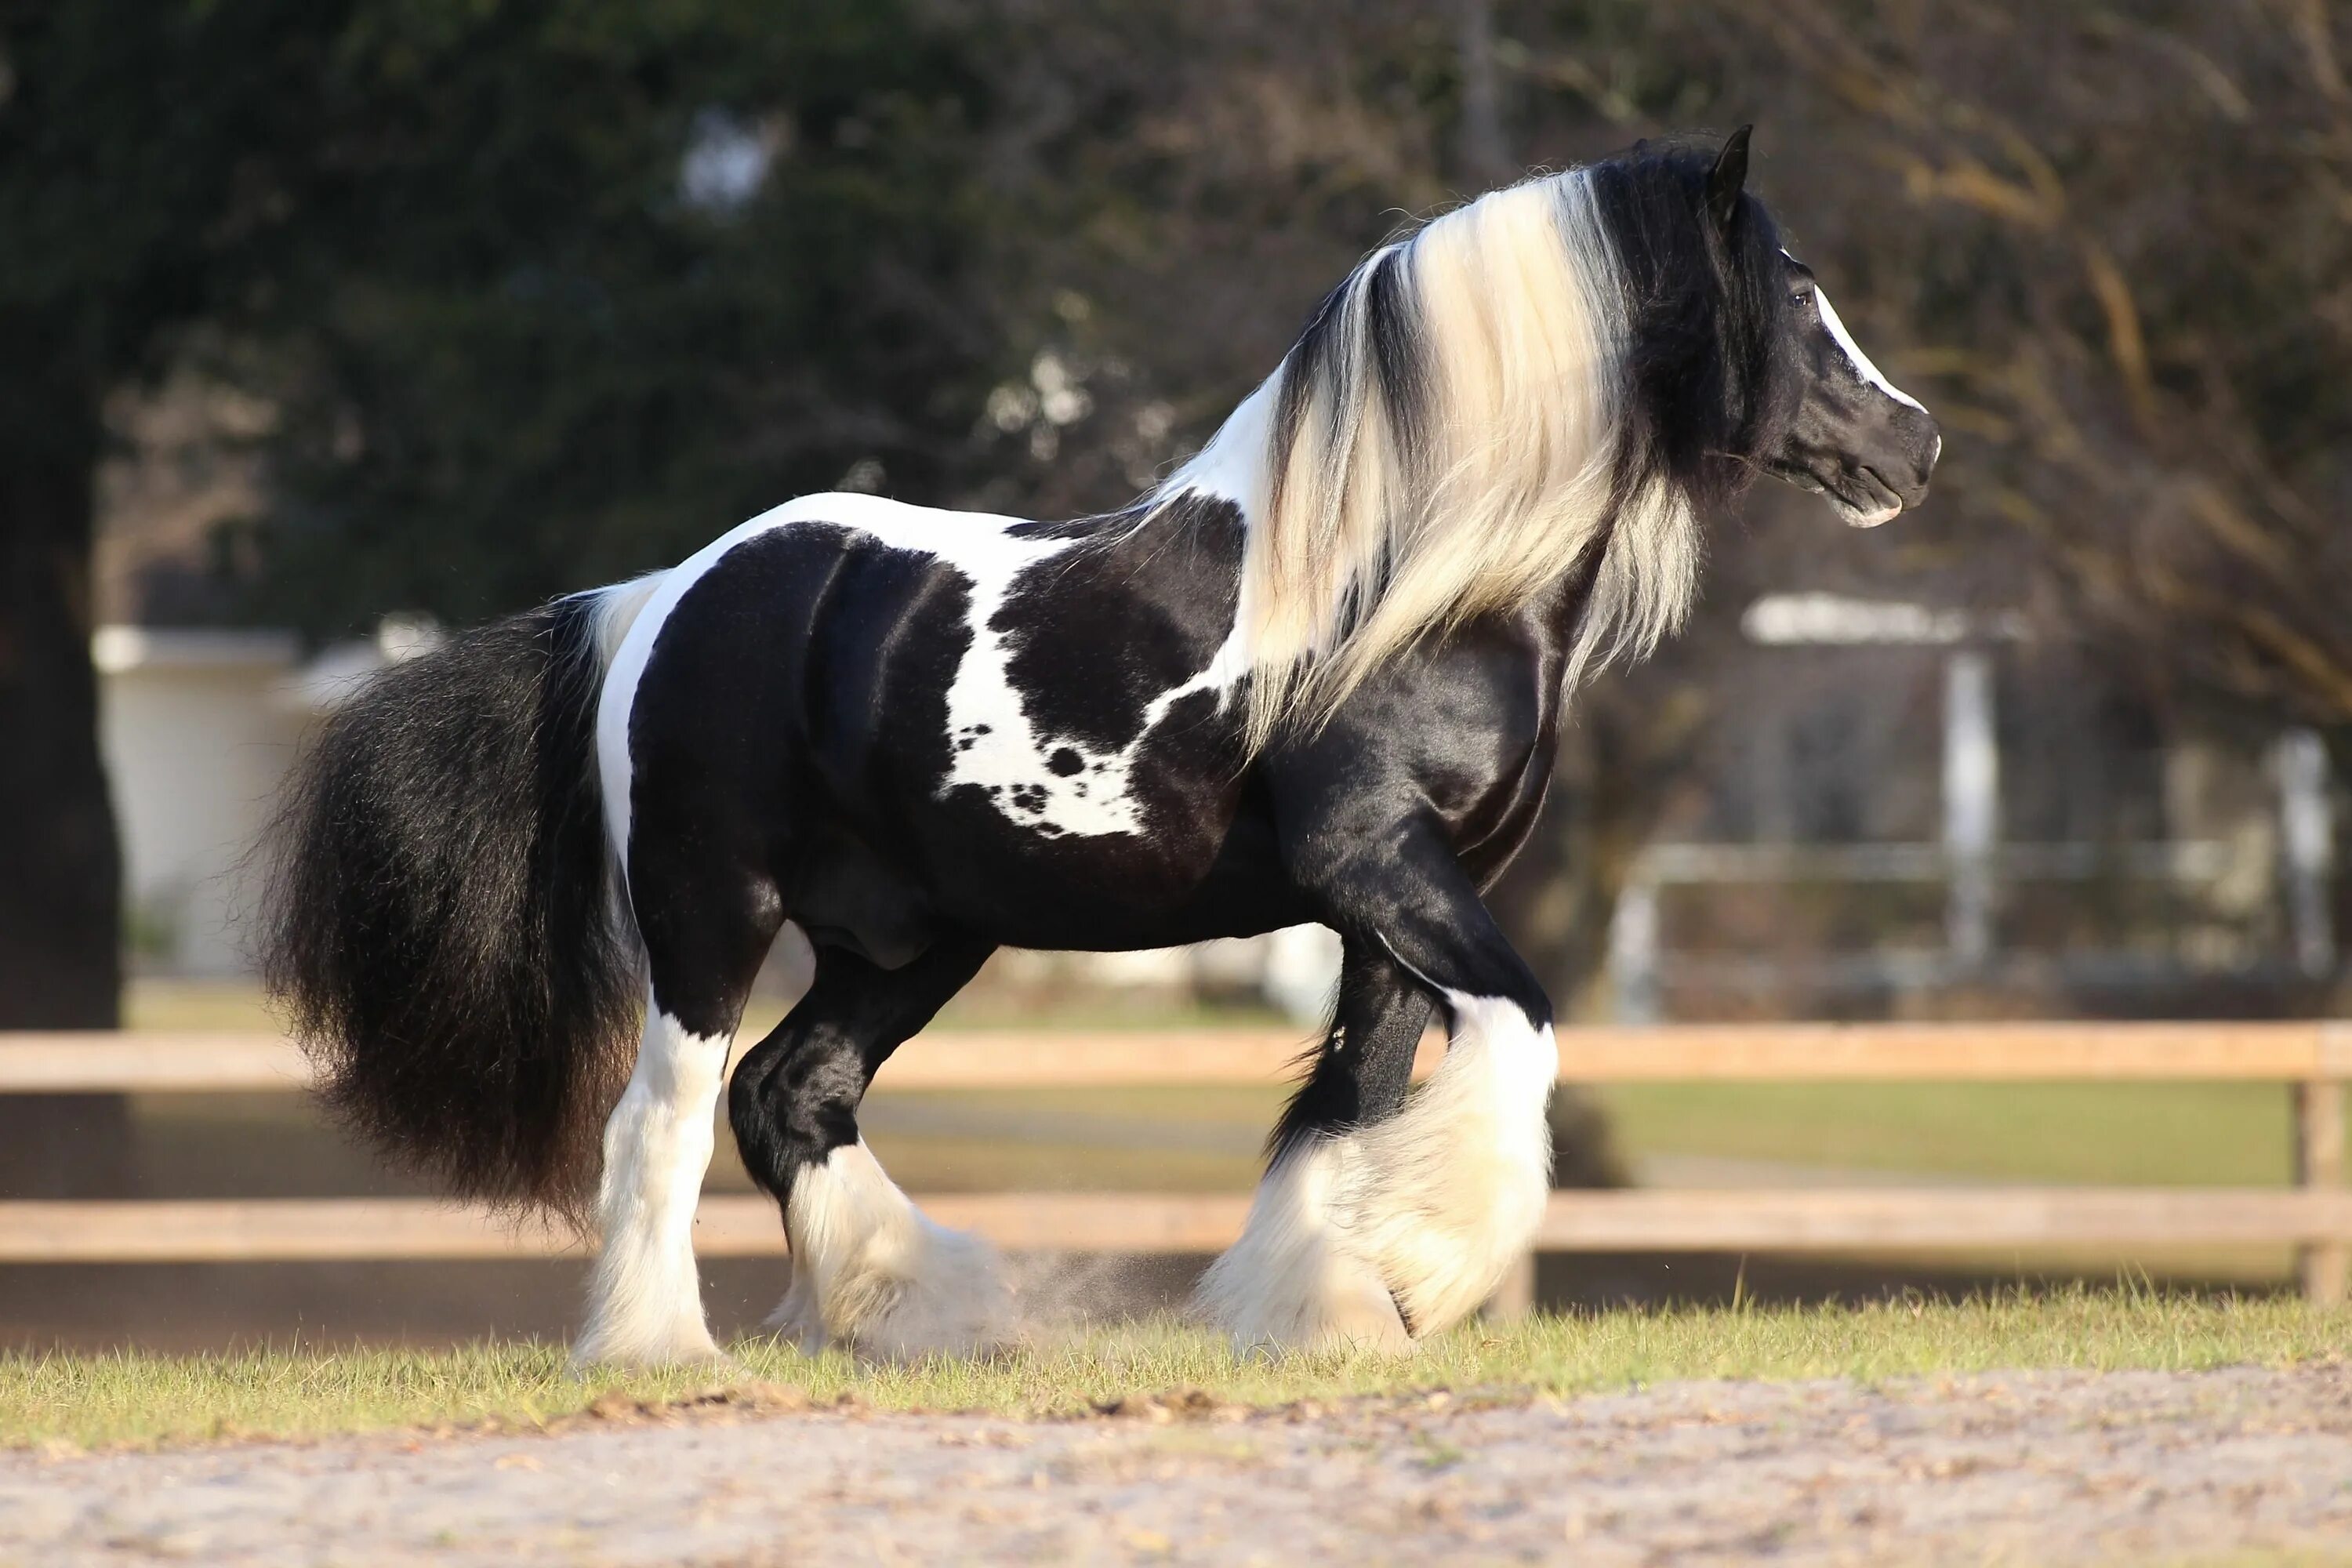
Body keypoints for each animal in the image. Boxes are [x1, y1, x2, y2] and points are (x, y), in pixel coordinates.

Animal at [267, 131, 1938, 1363]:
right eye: (1794, 292)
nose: (1914, 444)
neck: (1404, 584)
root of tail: (660, 596)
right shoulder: (1380, 862)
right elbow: (1518, 1031)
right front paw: (1426, 1271)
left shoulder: (1393, 904)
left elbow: (1346, 1105)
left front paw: (1327, 1312)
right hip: (711, 915)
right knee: (664, 1121)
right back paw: (663, 1351)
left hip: (909, 937)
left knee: (792, 1097)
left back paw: (923, 1312)